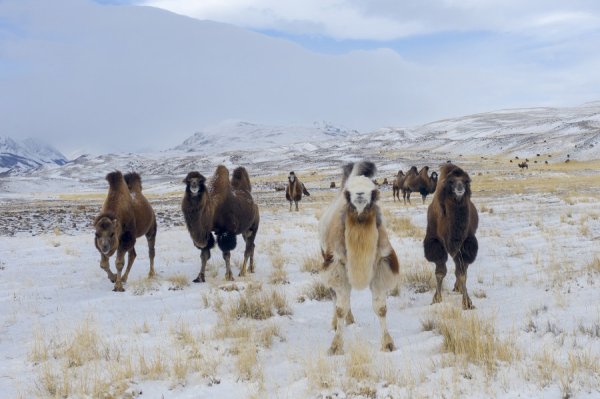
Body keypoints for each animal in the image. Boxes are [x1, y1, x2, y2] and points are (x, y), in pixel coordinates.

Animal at [424, 164, 480, 310]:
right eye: (451, 182)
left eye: (466, 181)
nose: (460, 187)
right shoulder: (436, 242)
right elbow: (440, 272)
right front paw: (436, 299)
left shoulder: (465, 243)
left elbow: (462, 273)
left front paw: (467, 302)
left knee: (462, 268)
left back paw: (458, 288)